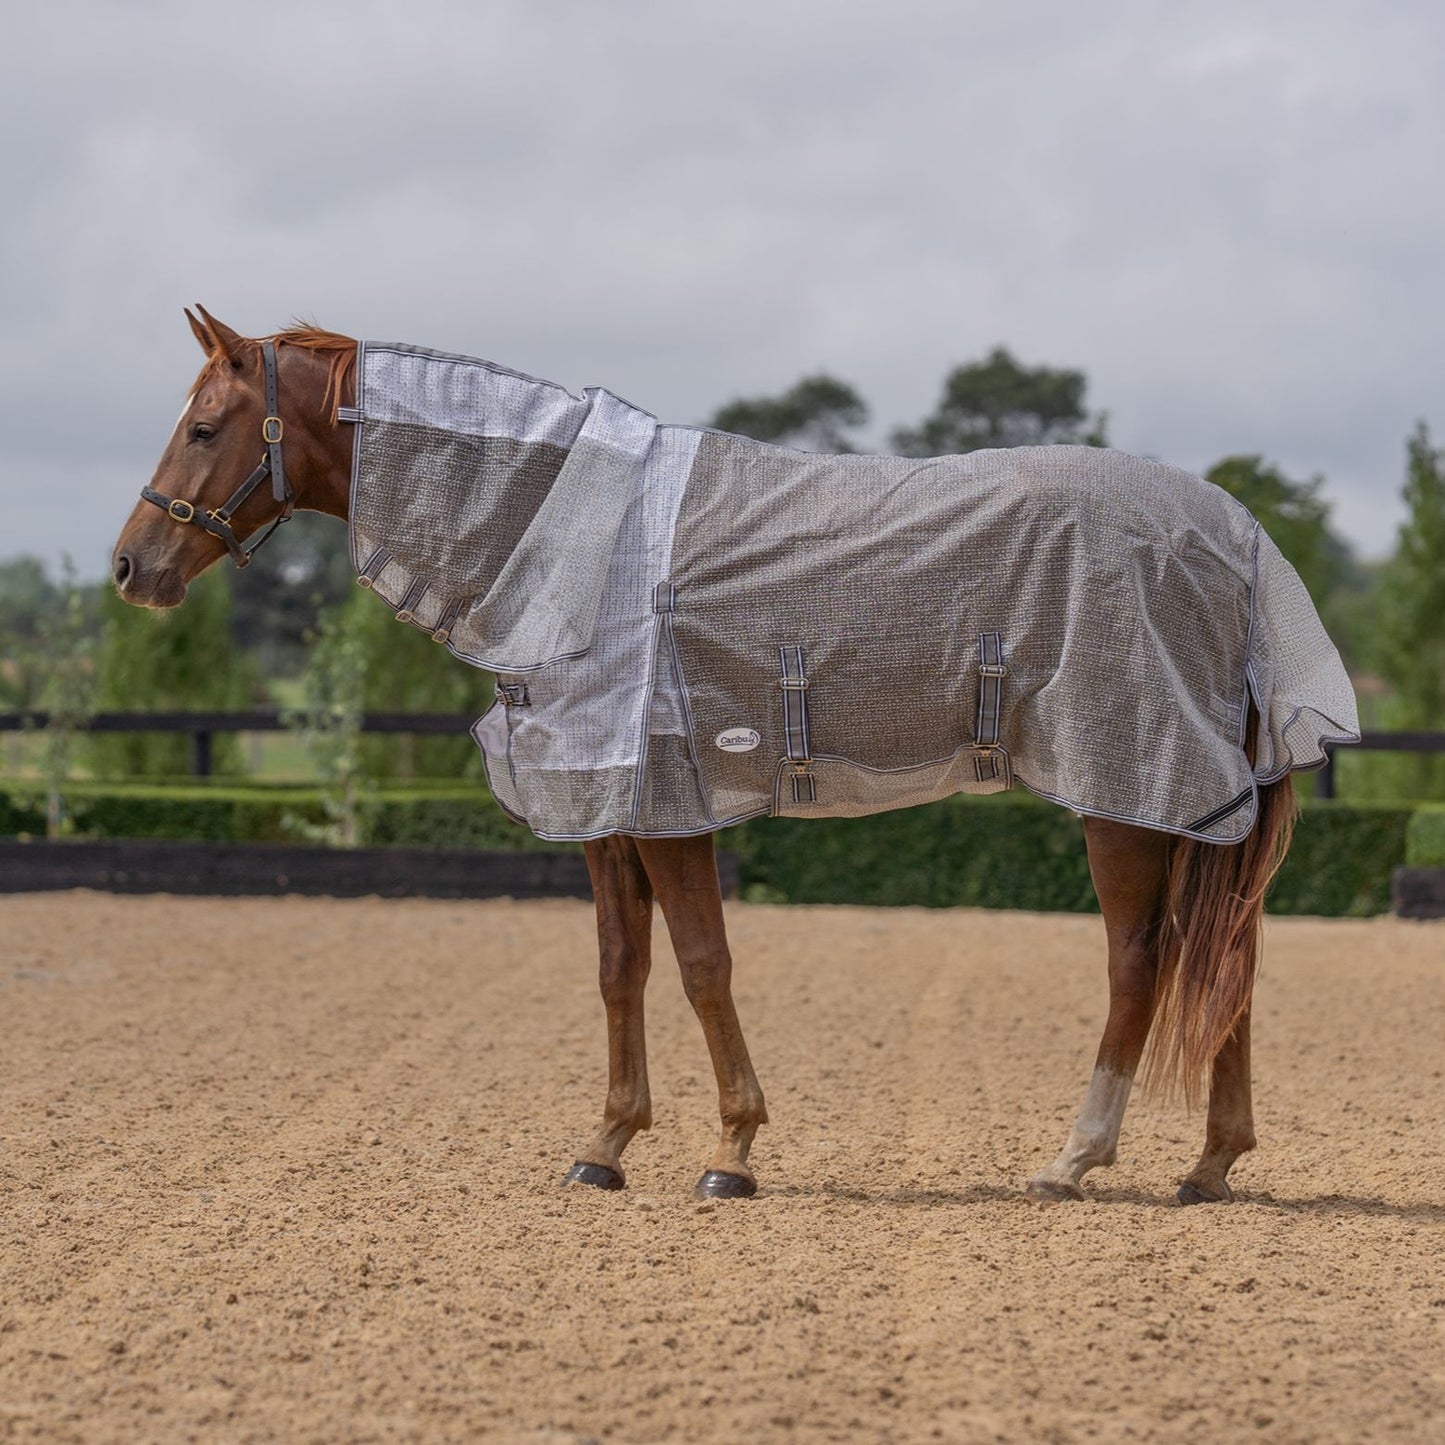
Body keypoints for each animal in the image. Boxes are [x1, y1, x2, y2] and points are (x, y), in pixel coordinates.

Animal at [111, 307, 1353, 1206]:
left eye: (208, 426)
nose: (132, 568)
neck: (569, 534)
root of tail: (1234, 535)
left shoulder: (665, 799)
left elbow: (703, 964)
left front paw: (733, 1149)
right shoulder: (605, 806)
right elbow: (620, 965)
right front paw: (605, 1142)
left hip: (1126, 789)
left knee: (1141, 962)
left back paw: (1074, 1157)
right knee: (1223, 955)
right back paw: (1207, 1164)